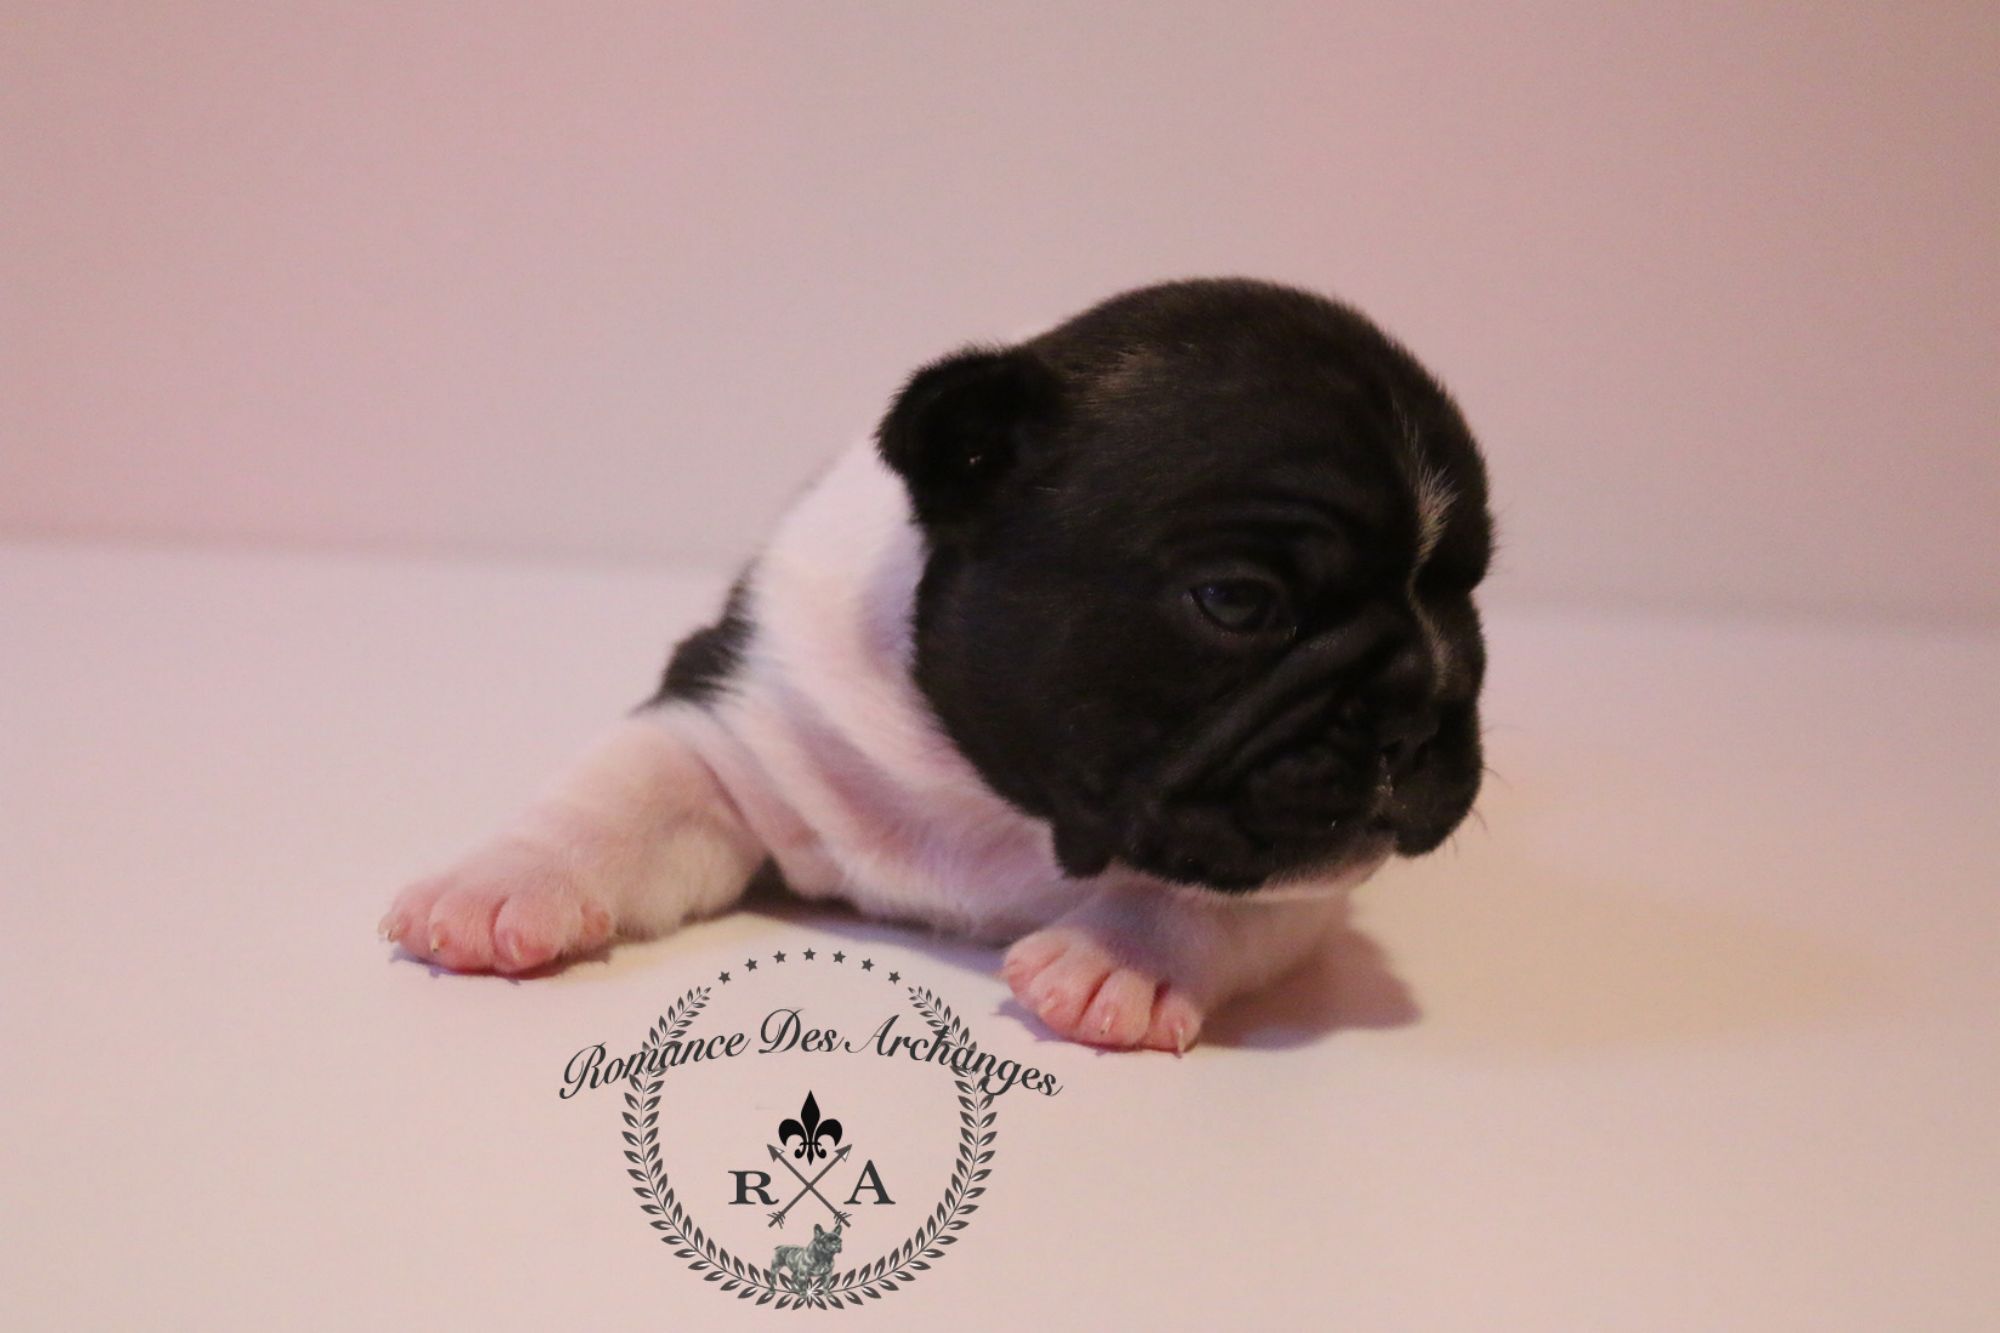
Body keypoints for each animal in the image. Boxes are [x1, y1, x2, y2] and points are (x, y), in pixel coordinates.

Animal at [380, 278, 1493, 1052]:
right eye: (1237, 603)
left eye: (1466, 597)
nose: (1421, 702)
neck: (988, 798)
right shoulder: (739, 718)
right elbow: (620, 789)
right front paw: (499, 882)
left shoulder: (1288, 869)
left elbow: (1215, 894)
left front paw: (1119, 955)